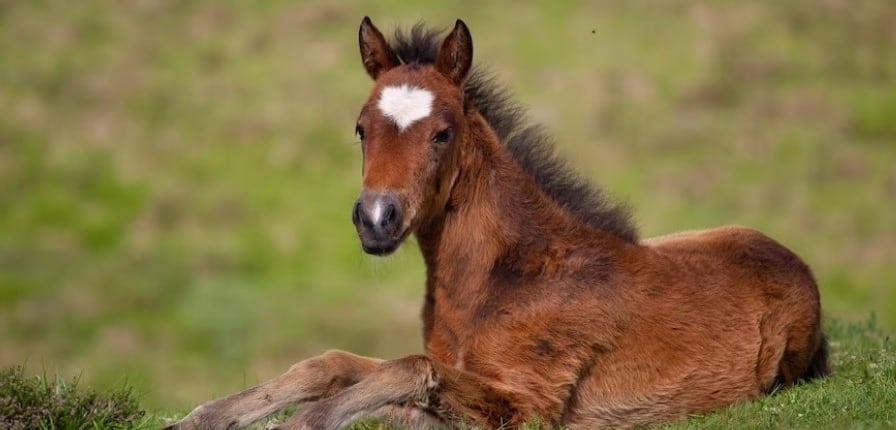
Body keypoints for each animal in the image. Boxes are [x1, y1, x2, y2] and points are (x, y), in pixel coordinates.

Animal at [167, 17, 828, 430]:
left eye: (442, 133)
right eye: (360, 128)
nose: (376, 219)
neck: (509, 276)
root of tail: (791, 258)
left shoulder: (528, 405)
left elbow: (409, 370)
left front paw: (305, 422)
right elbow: (333, 364)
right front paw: (203, 417)